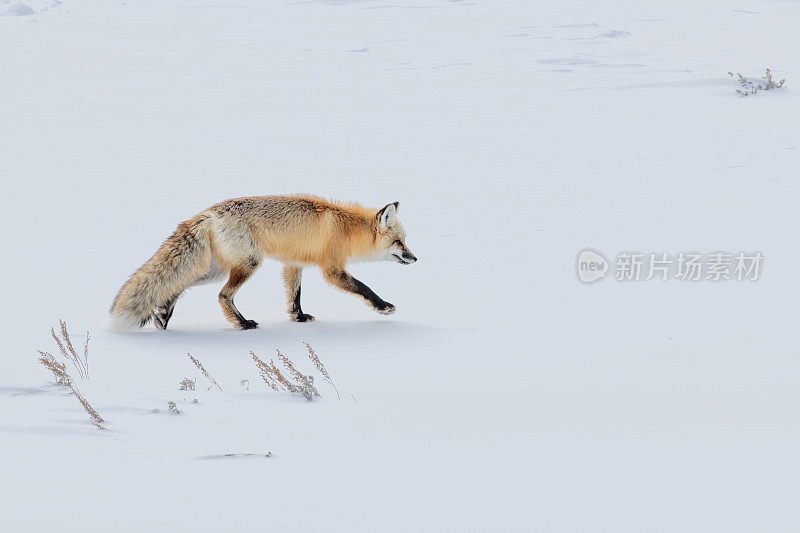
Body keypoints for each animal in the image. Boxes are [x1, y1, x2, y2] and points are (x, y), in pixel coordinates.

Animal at [110, 195, 418, 328]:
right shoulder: (332, 269)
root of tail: (207, 213)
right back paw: (243, 323)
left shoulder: (294, 263)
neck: (347, 228)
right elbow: (365, 288)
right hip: (248, 263)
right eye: (400, 243)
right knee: (223, 295)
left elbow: (294, 296)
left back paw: (163, 315)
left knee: (177, 284)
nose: (415, 258)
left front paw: (298, 318)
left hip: (215, 269)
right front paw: (383, 307)